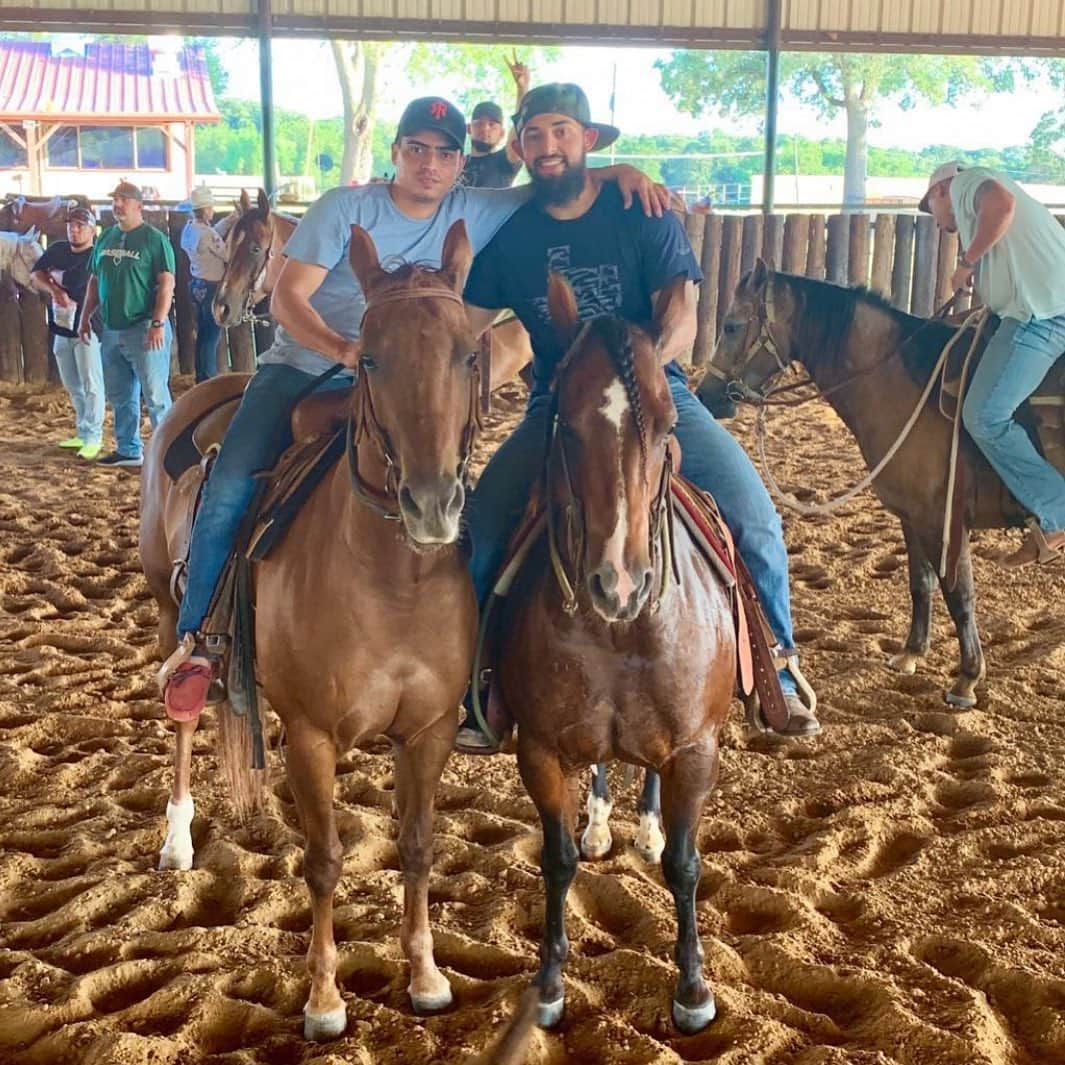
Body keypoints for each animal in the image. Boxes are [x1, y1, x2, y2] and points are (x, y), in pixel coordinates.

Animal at [139, 222, 481, 1039]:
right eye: (371, 357)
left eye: (469, 353)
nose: (430, 504)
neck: (393, 577)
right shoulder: (313, 734)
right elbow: (323, 858)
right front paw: (324, 998)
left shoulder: (428, 730)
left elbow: (417, 846)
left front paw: (426, 975)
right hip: (169, 613)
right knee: (185, 720)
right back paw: (176, 836)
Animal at [494, 272, 736, 1030]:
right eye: (566, 426)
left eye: (667, 426)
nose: (618, 584)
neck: (622, 633)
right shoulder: (540, 749)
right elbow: (557, 859)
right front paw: (548, 983)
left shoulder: (695, 748)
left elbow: (686, 865)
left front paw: (692, 989)